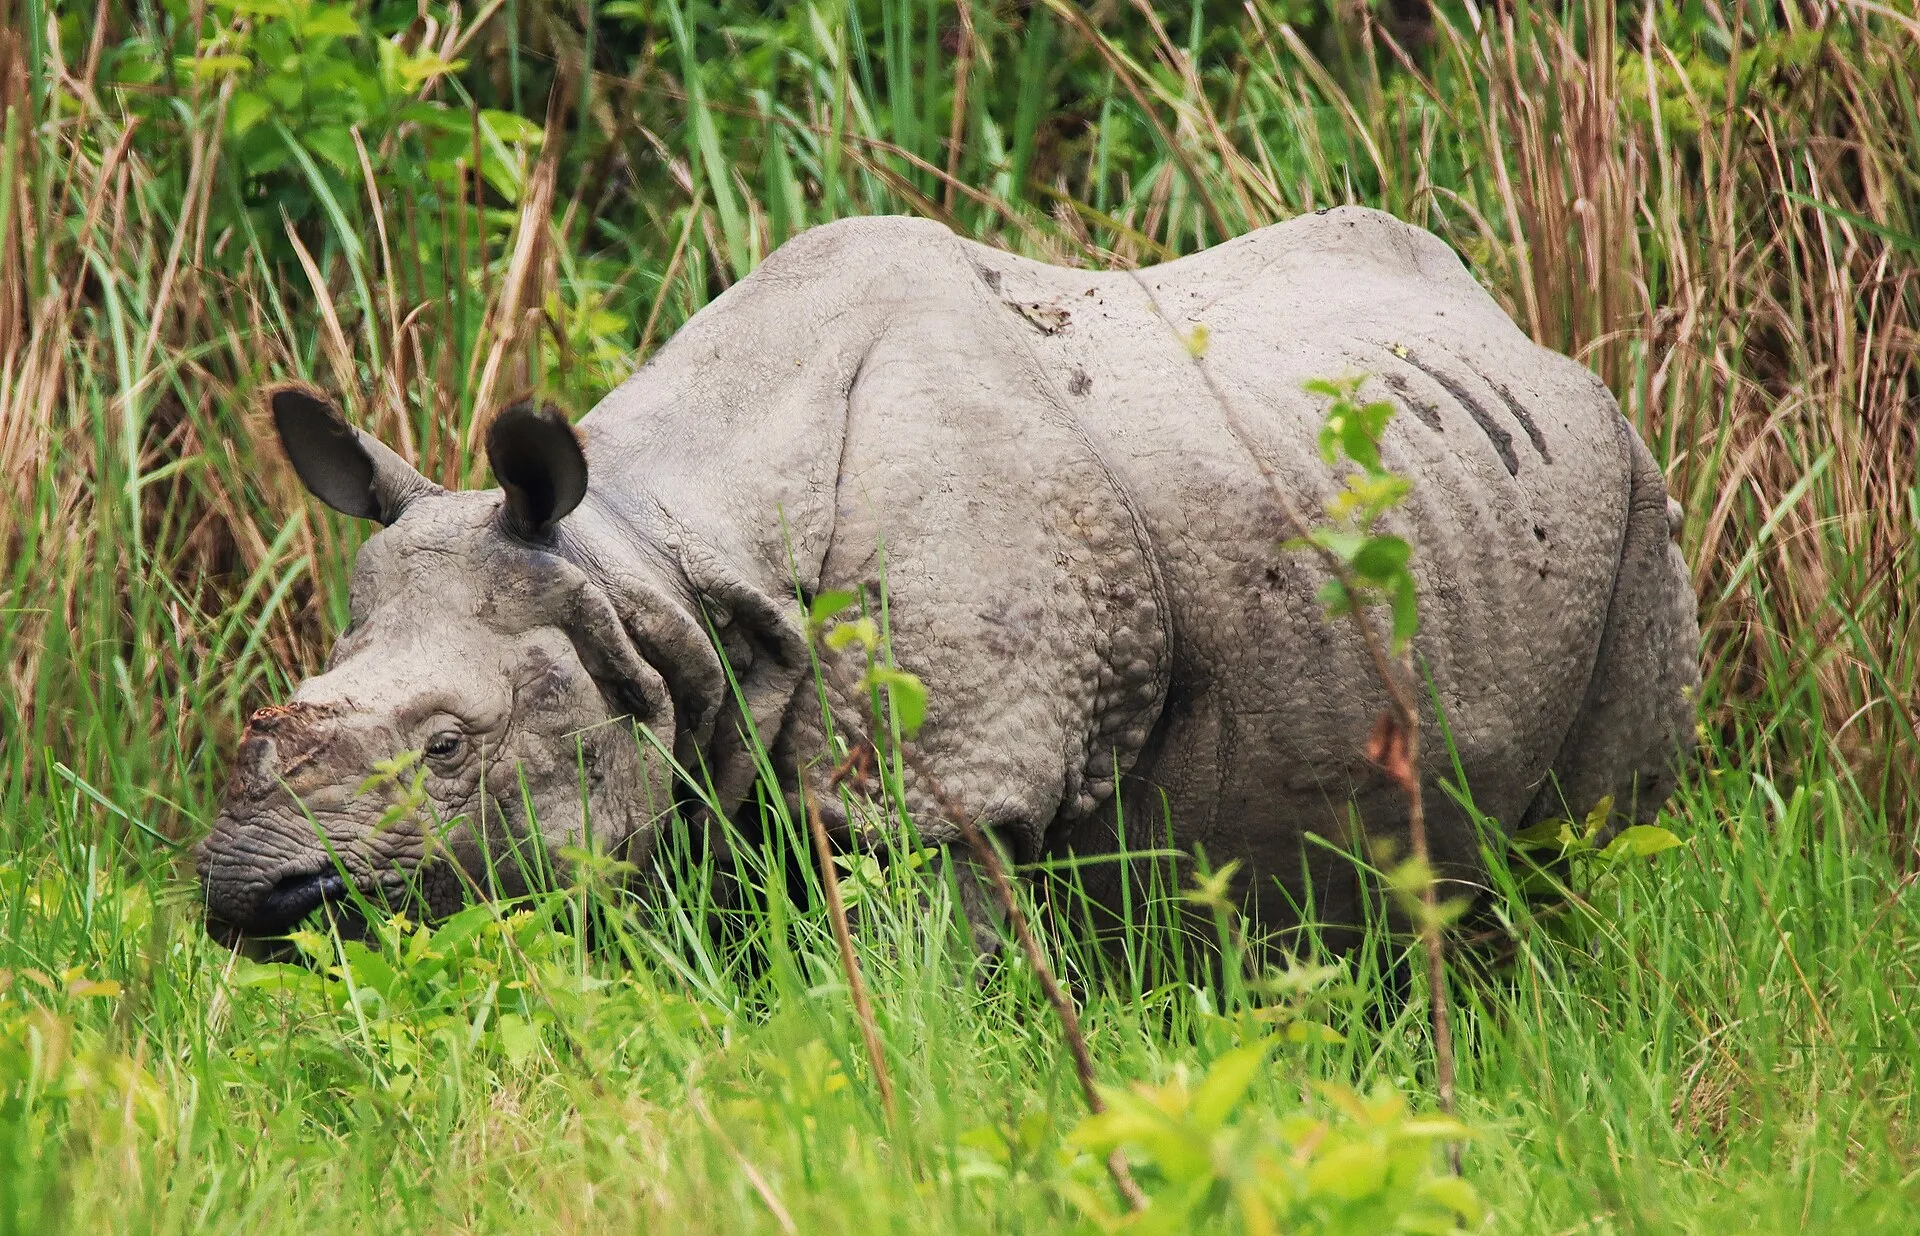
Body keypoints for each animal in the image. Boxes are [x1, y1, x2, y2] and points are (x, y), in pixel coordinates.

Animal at [198, 207, 1699, 949]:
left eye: (450, 746)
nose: (248, 893)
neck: (647, 557)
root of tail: (1518, 325)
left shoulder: (950, 790)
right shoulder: (669, 737)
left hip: (1634, 490)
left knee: (1592, 844)